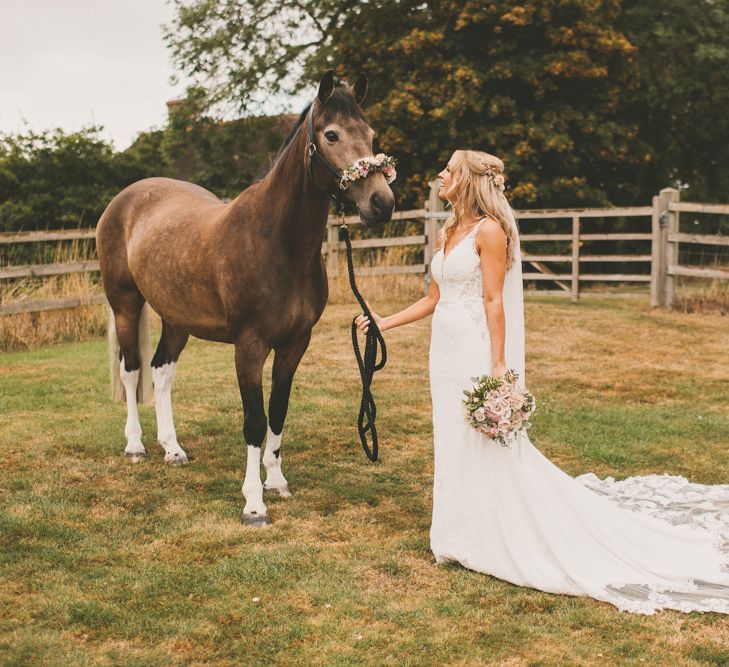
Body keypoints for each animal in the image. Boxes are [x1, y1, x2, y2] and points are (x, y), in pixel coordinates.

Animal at [97, 70, 396, 524]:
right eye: (331, 134)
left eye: (372, 135)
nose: (381, 202)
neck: (277, 241)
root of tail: (125, 198)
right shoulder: (250, 346)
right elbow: (255, 420)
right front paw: (254, 503)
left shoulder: (295, 343)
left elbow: (278, 411)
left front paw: (277, 481)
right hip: (125, 304)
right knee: (131, 370)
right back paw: (135, 446)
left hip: (177, 318)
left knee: (161, 371)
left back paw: (173, 449)